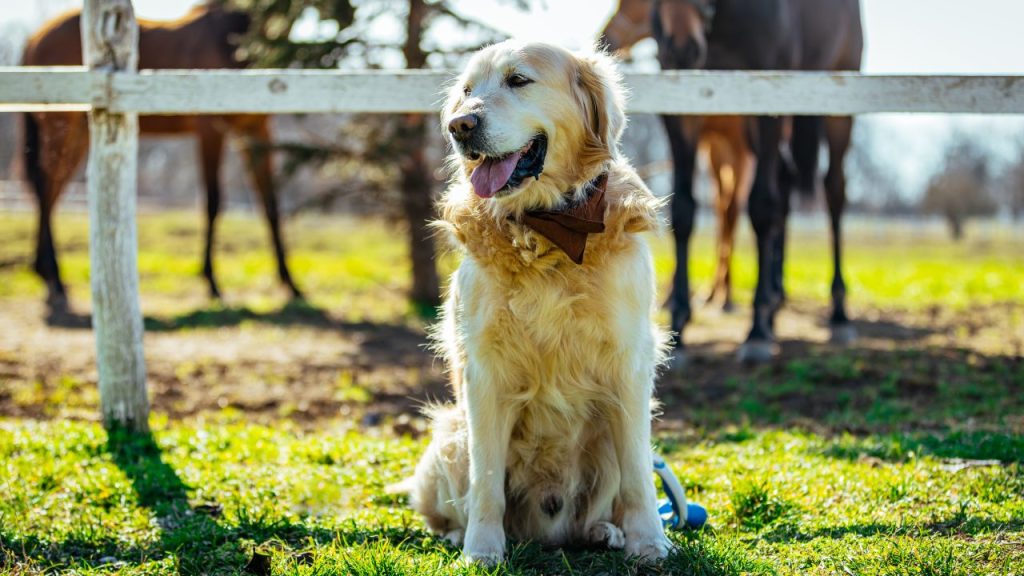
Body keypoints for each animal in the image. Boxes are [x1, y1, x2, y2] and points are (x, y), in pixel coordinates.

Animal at [20, 3, 299, 309]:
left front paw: (291, 283)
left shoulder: (257, 131)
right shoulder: (210, 130)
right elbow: (213, 202)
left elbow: (270, 204)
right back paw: (54, 279)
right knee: (45, 189)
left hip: (78, 133)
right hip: (61, 126)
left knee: (51, 192)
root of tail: (34, 38)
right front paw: (212, 283)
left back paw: (45, 274)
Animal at [407, 41, 671, 565]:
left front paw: (649, 541)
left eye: (519, 80)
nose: (459, 126)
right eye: (466, 90)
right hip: (449, 434)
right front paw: (482, 550)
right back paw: (458, 535)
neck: (548, 227)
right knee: (451, 504)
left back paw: (603, 531)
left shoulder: (630, 365)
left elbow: (638, 474)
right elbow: (487, 481)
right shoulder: (485, 372)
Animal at [598, 0, 864, 362]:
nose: (682, 48)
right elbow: (684, 210)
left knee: (833, 192)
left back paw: (837, 313)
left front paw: (757, 332)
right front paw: (679, 325)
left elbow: (761, 208)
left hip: (834, 110)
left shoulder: (767, 101)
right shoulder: (682, 110)